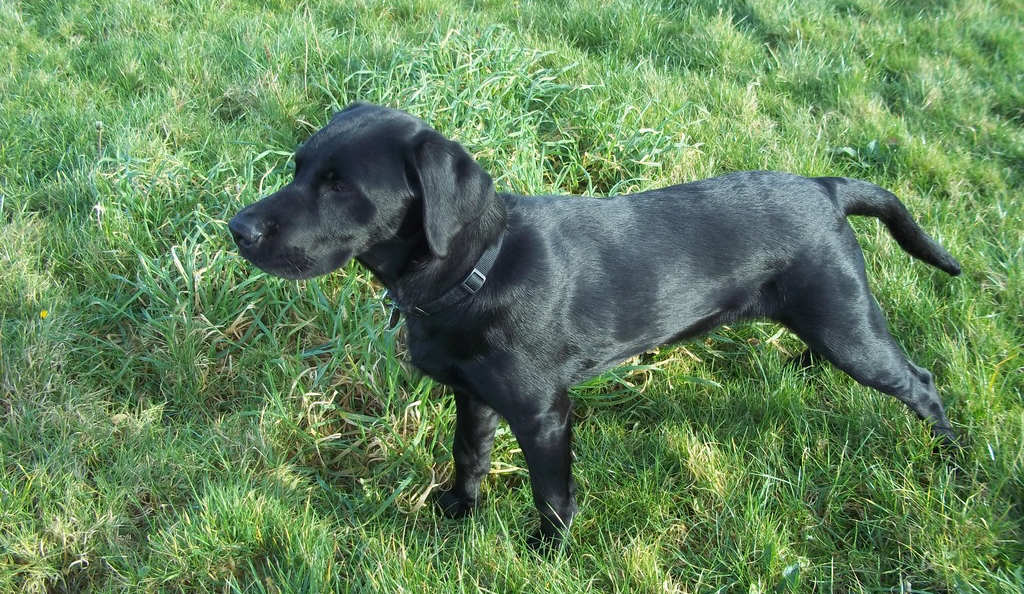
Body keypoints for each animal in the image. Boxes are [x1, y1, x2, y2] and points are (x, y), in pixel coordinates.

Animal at [230, 103, 958, 548]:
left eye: (338, 185)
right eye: (298, 166)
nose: (236, 228)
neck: (480, 269)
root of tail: (826, 187)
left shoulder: (544, 413)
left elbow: (552, 493)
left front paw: (547, 551)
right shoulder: (473, 396)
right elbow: (469, 456)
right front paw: (460, 511)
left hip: (851, 330)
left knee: (922, 384)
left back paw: (950, 462)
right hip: (831, 322)